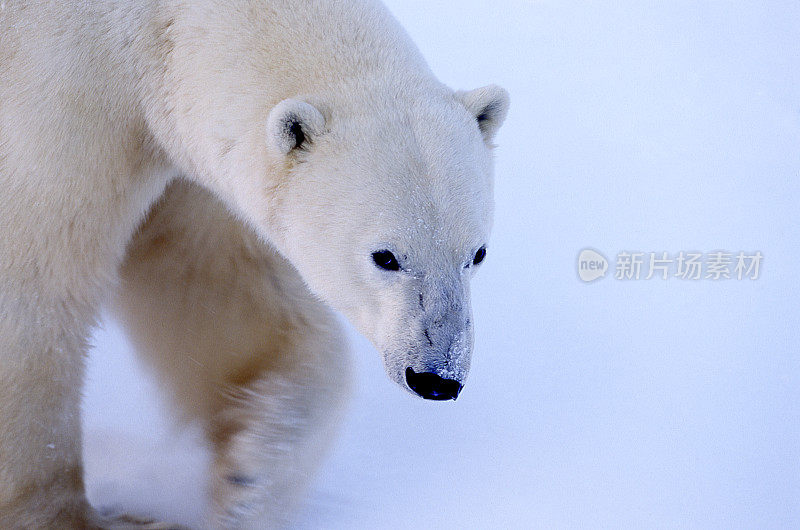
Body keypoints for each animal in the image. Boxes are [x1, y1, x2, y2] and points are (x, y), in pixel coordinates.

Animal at [0, 0, 510, 524]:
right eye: (385, 257)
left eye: (477, 253)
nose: (436, 377)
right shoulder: (62, 97)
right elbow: (37, 287)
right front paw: (84, 519)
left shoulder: (177, 163)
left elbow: (208, 286)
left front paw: (251, 478)